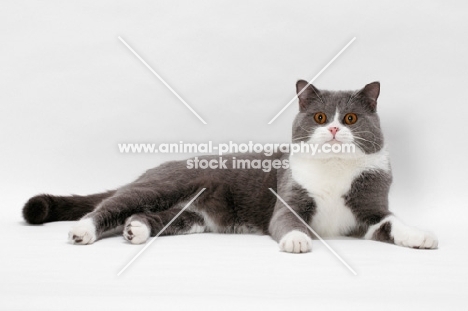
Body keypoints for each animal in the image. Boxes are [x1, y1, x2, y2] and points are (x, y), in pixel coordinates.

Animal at [22, 80, 438, 254]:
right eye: (320, 117)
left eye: (350, 118)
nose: (334, 129)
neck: (334, 168)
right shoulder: (288, 197)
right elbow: (287, 221)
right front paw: (297, 239)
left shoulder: (371, 207)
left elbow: (392, 223)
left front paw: (421, 236)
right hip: (165, 184)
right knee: (112, 204)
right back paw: (83, 231)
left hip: (190, 216)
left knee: (150, 216)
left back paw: (134, 231)